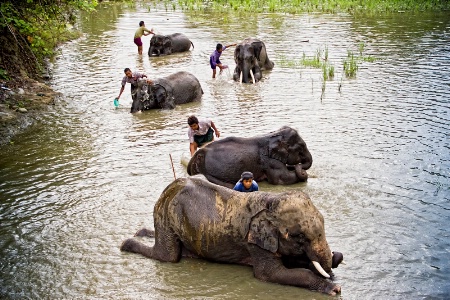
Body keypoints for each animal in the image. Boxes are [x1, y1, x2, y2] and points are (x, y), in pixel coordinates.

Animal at [119, 175, 344, 294]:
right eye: (300, 237)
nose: (337, 256)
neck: (271, 201)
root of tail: (169, 187)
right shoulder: (255, 242)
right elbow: (269, 274)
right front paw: (334, 289)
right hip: (166, 216)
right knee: (168, 257)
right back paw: (126, 244)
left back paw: (141, 232)